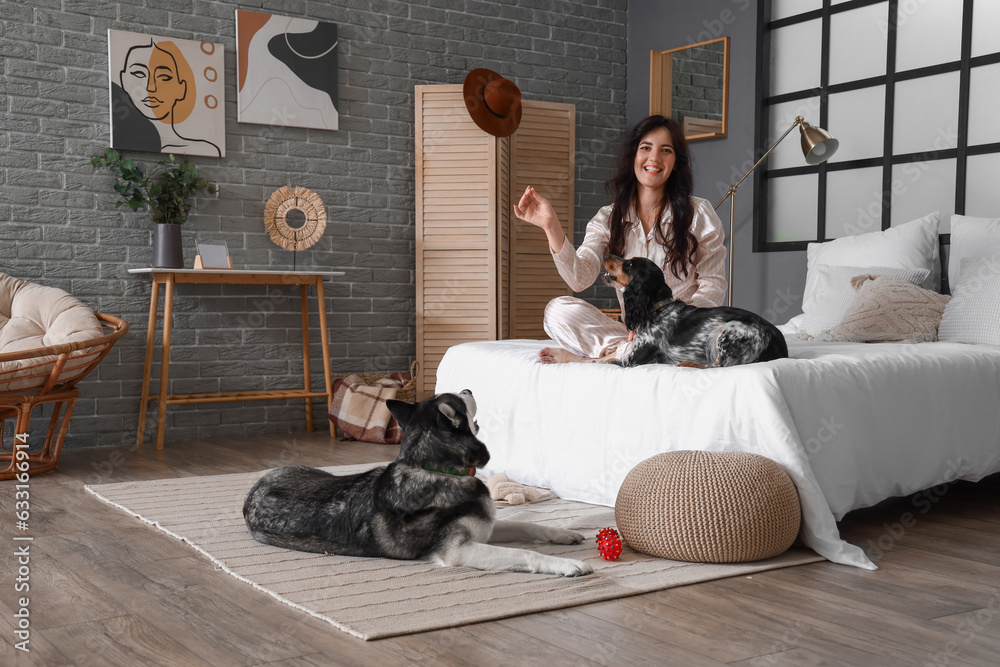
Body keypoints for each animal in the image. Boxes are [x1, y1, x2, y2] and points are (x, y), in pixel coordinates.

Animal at [242, 394, 592, 576]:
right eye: (460, 402)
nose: (468, 389)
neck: (436, 470)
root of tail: (251, 492)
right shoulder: (458, 550)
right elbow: (525, 554)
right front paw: (567, 564)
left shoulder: (486, 527)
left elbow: (528, 525)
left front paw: (563, 534)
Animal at [600, 258, 788, 370]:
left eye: (629, 264)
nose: (607, 254)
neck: (657, 308)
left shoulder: (632, 360)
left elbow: (600, 360)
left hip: (727, 330)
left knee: (718, 366)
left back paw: (687, 363)